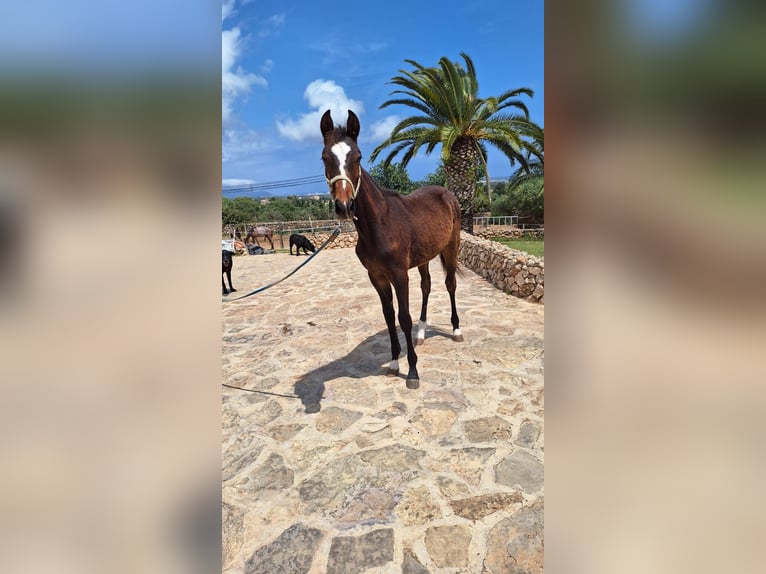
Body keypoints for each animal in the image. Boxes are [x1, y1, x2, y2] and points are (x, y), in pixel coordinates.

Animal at [320, 109, 463, 389]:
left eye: (358, 157)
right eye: (324, 157)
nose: (344, 206)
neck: (380, 224)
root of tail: (446, 193)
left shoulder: (399, 274)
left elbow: (403, 318)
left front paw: (413, 371)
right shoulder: (377, 277)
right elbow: (389, 317)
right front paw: (395, 362)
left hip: (451, 248)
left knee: (450, 284)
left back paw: (456, 330)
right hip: (424, 257)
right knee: (427, 286)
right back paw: (421, 333)